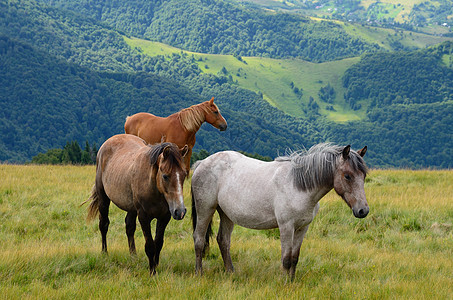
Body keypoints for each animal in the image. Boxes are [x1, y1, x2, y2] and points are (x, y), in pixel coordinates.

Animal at [84, 135, 187, 276]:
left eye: (184, 175)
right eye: (165, 176)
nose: (180, 211)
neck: (152, 186)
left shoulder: (164, 217)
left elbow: (158, 243)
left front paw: (156, 264)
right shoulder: (143, 216)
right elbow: (150, 245)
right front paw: (152, 272)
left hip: (131, 208)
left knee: (129, 227)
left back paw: (133, 255)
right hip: (103, 198)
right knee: (104, 224)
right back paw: (104, 253)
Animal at [191, 144, 368, 280]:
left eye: (364, 175)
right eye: (347, 176)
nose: (363, 210)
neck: (298, 186)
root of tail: (201, 163)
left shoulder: (302, 228)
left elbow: (295, 258)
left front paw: (291, 281)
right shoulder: (286, 227)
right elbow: (286, 259)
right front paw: (283, 283)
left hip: (226, 214)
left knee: (223, 241)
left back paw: (231, 273)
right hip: (205, 209)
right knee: (199, 239)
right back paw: (199, 274)